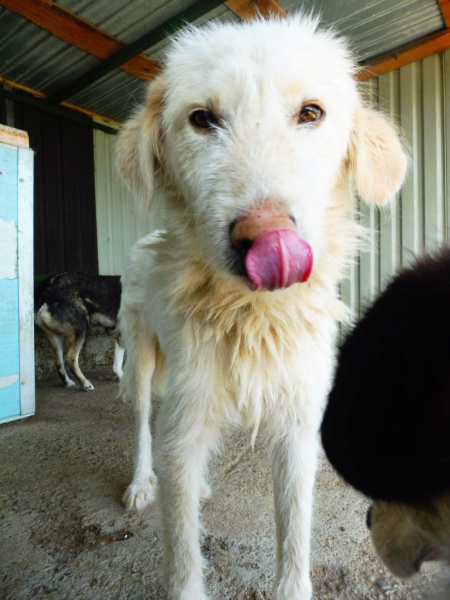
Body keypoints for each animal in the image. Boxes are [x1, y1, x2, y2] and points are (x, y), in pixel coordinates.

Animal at [116, 15, 408, 600]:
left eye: (311, 113)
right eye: (202, 119)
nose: (265, 237)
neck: (253, 315)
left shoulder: (298, 424)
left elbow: (293, 536)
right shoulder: (187, 405)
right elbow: (182, 552)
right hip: (141, 363)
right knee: (143, 426)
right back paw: (141, 482)